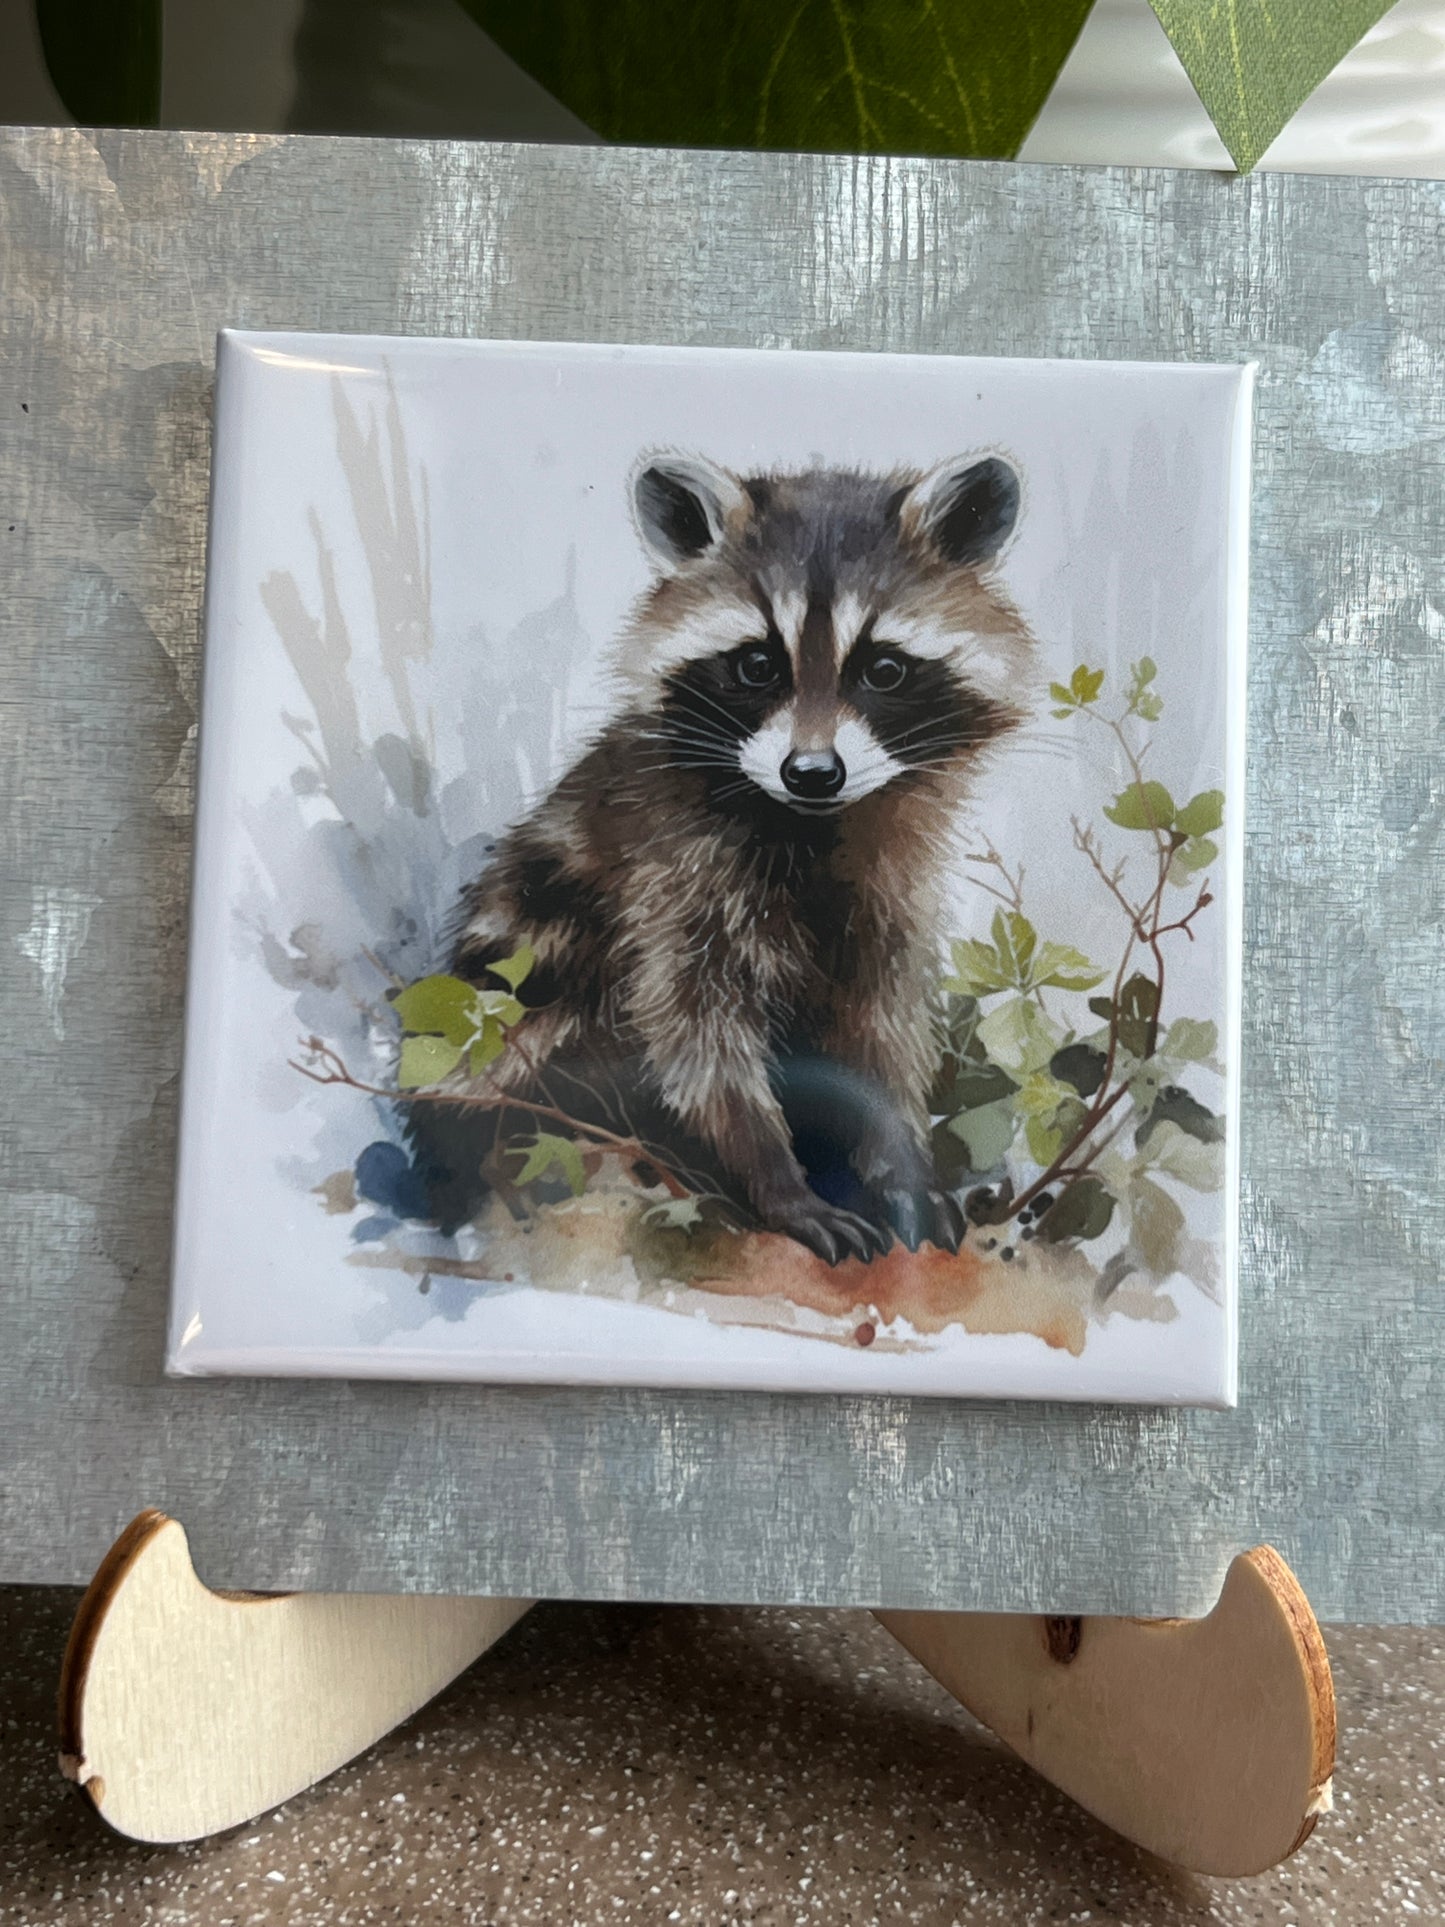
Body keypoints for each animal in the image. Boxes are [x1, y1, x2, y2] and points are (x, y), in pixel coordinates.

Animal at [409, 450, 1033, 1264]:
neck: (810, 823)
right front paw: (774, 1178)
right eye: (757, 664)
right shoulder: (671, 869)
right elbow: (696, 1032)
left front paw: (899, 1157)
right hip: (520, 1021)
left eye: (885, 669)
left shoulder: (894, 885)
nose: (812, 771)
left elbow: (882, 1025)